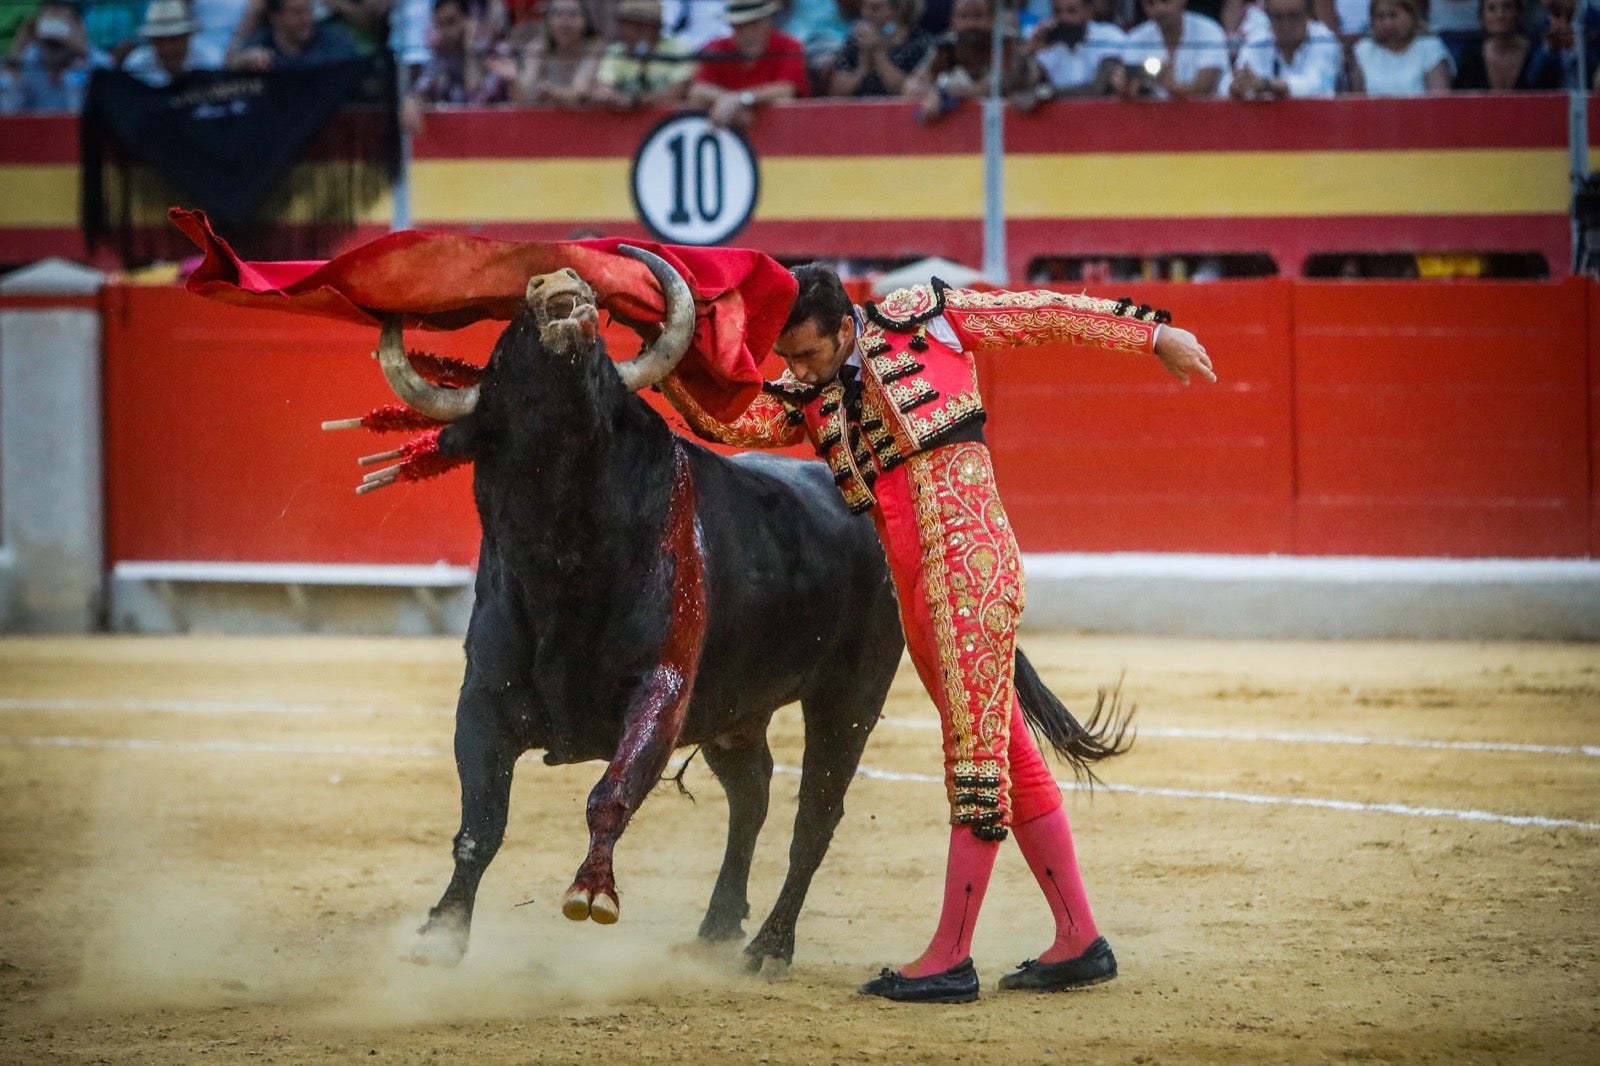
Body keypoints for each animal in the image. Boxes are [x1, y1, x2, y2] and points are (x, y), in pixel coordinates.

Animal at [363, 251, 908, 973]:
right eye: (506, 351)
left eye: (599, 359)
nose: (561, 283)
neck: (566, 553)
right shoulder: (482, 698)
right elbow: (480, 824)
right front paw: (442, 932)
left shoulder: (663, 686)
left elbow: (612, 791)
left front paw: (593, 891)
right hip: (737, 710)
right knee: (753, 791)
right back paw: (718, 923)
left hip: (850, 695)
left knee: (814, 815)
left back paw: (768, 946)